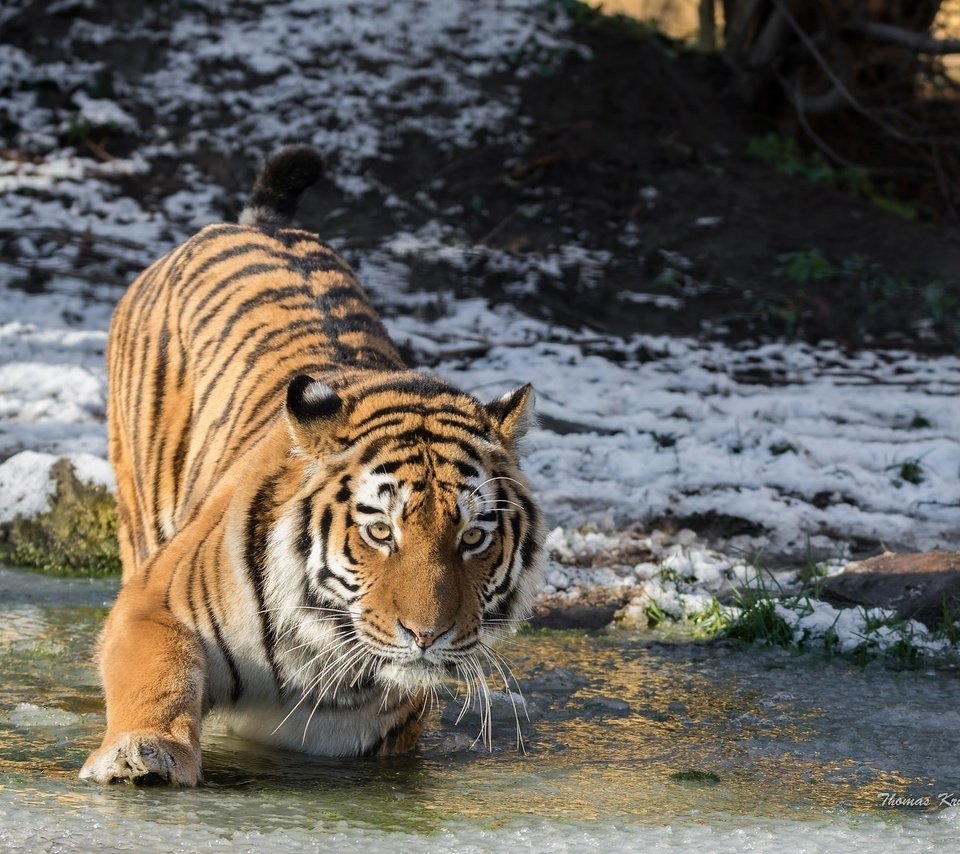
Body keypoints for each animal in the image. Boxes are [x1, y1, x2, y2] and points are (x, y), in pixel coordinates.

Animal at [79, 147, 544, 788]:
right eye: (380, 531)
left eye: (473, 538)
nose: (427, 636)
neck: (318, 647)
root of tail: (257, 225)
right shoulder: (154, 602)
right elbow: (158, 678)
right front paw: (141, 754)